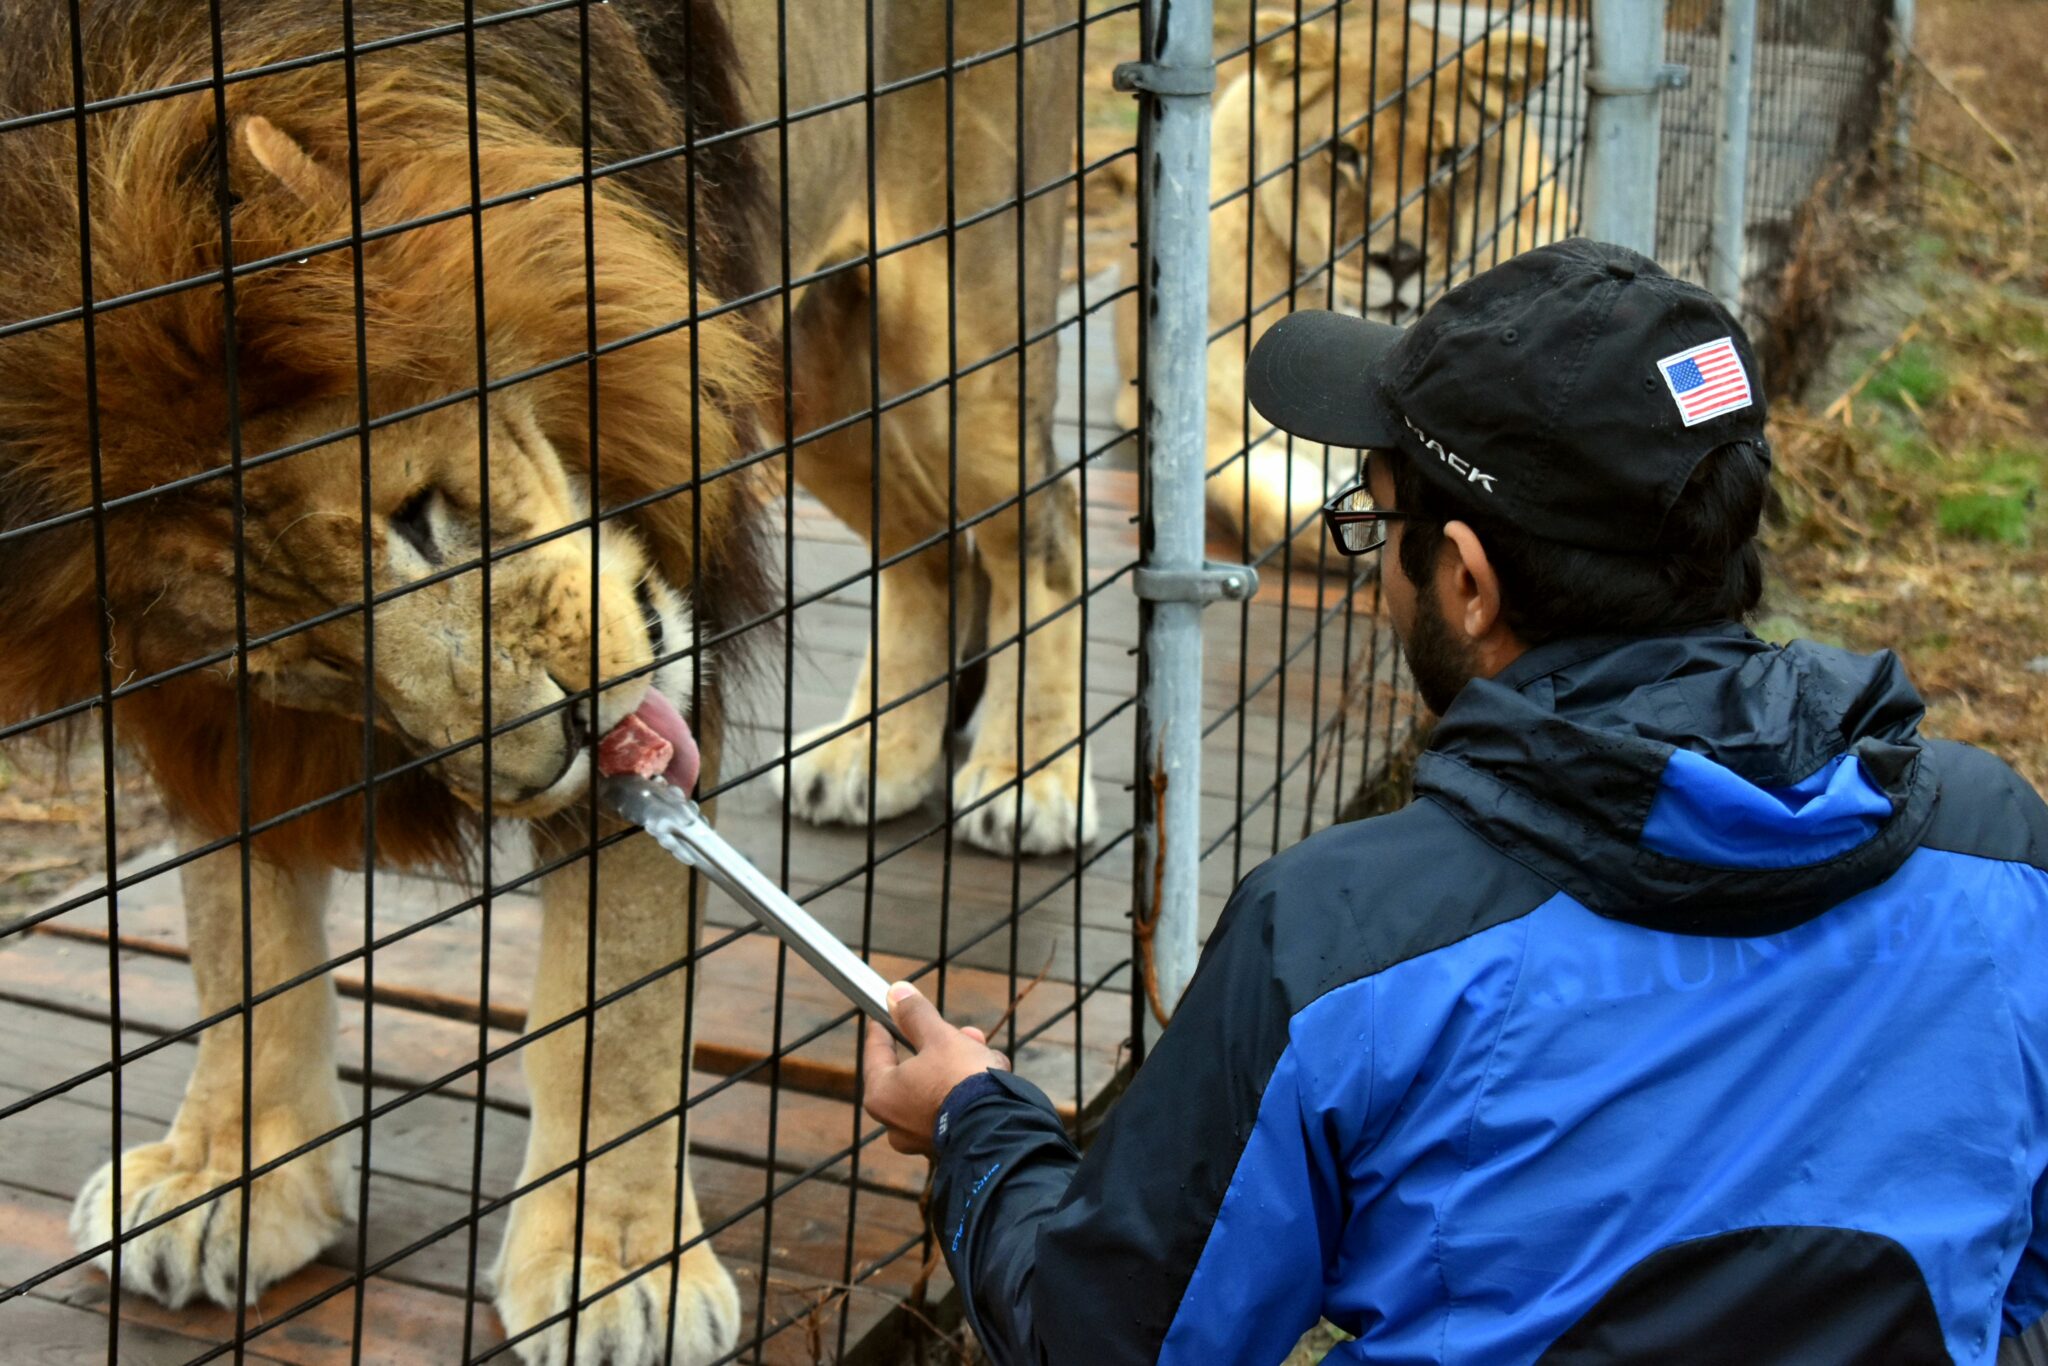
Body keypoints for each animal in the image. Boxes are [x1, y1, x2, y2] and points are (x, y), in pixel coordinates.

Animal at [0, 2, 1081, 1366]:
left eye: (418, 516)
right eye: (305, 666)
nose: (554, 749)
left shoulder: (677, 575)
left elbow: (616, 1003)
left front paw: (617, 1268)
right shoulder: (219, 727)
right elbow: (236, 935)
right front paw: (231, 1173)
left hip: (958, 312)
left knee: (1042, 530)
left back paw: (1030, 775)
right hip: (813, 363)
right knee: (930, 545)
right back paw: (868, 758)